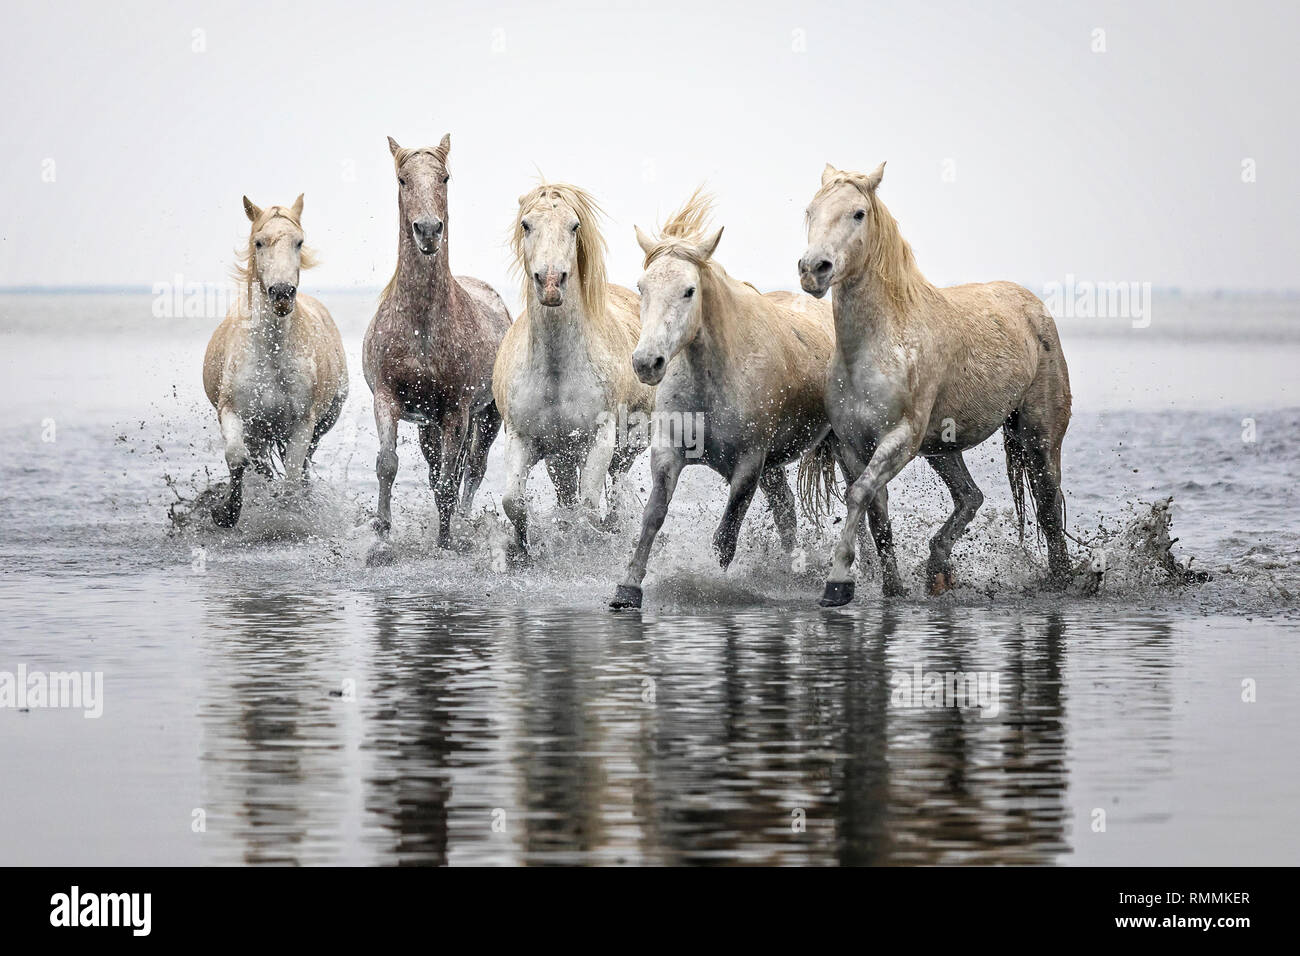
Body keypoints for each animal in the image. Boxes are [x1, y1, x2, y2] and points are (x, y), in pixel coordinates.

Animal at [200, 191, 348, 528]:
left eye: (299, 242)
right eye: (259, 242)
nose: (282, 293)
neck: (271, 354)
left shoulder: (302, 425)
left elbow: (292, 476)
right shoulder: (233, 412)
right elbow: (236, 457)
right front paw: (226, 512)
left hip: (317, 427)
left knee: (302, 469)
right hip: (259, 431)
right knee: (259, 462)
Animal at [366, 138, 512, 564]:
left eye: (445, 177)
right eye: (402, 179)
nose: (428, 230)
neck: (422, 324)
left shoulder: (456, 412)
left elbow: (451, 479)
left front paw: (445, 541)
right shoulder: (387, 399)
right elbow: (388, 464)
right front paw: (381, 534)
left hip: (486, 417)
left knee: (473, 468)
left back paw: (461, 522)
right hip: (427, 424)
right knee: (438, 471)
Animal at [608, 193, 832, 608]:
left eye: (689, 290)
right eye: (642, 287)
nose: (647, 362)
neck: (713, 380)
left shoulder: (748, 464)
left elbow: (725, 537)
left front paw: (714, 587)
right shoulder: (669, 451)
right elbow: (653, 517)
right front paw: (628, 588)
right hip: (773, 469)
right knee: (786, 512)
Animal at [795, 160, 1071, 600]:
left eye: (858, 213)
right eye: (811, 211)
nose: (813, 270)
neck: (876, 347)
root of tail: (1034, 307)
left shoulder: (900, 440)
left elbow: (859, 495)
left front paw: (837, 584)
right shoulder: (854, 448)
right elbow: (877, 517)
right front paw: (892, 588)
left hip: (1039, 438)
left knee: (1047, 509)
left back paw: (1063, 580)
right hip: (944, 448)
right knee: (971, 496)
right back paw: (938, 569)